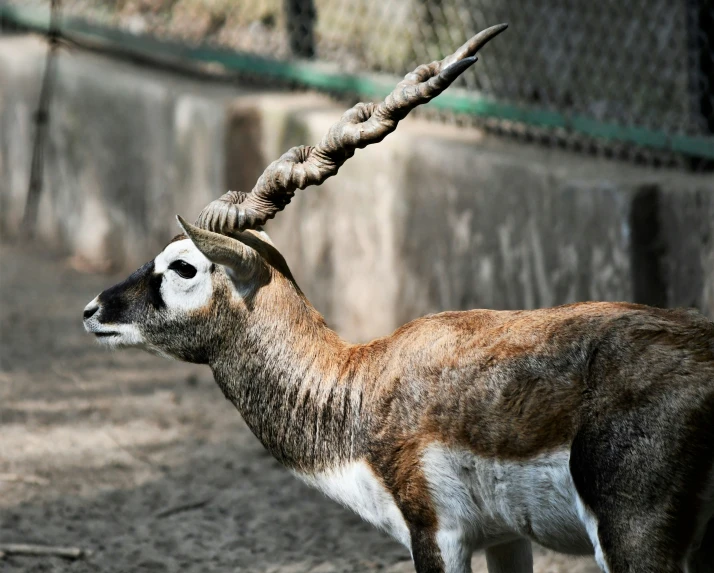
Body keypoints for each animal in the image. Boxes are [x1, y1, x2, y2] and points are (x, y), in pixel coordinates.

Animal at [82, 24, 712, 572]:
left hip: (633, 541)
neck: (357, 387)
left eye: (183, 266)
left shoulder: (437, 531)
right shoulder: (506, 537)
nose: (93, 310)